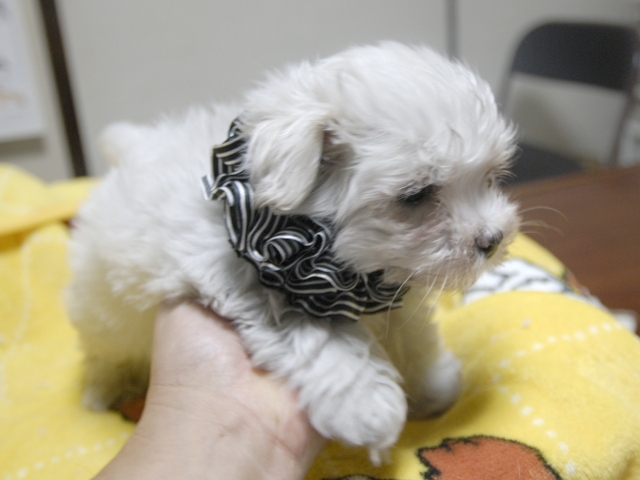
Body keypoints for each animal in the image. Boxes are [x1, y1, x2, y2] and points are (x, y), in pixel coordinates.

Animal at [67, 42, 519, 457]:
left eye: (492, 177)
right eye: (416, 195)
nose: (492, 239)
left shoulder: (390, 283)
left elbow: (411, 332)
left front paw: (433, 386)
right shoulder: (251, 277)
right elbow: (314, 335)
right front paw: (366, 406)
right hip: (101, 310)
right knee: (104, 352)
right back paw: (100, 393)